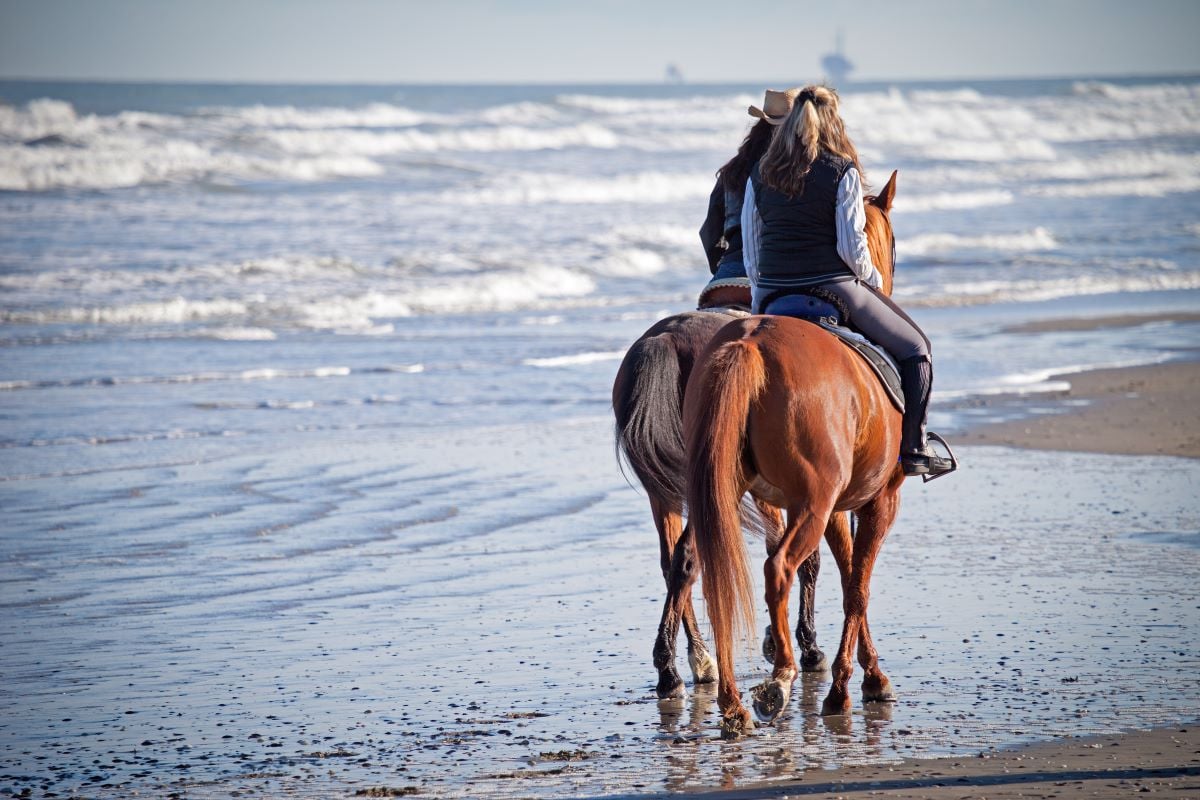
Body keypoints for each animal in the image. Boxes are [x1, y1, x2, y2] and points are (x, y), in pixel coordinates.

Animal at [614, 281, 830, 700]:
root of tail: (666, 338)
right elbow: (803, 556)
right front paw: (806, 645)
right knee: (687, 558)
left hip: (667, 489)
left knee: (673, 563)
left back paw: (688, 663)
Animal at [686, 170, 902, 738]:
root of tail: (750, 342)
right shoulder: (877, 500)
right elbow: (858, 587)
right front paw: (853, 686)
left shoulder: (838, 508)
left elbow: (850, 579)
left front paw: (864, 675)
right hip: (811, 504)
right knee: (778, 570)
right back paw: (779, 678)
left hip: (728, 496)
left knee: (718, 578)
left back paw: (733, 703)